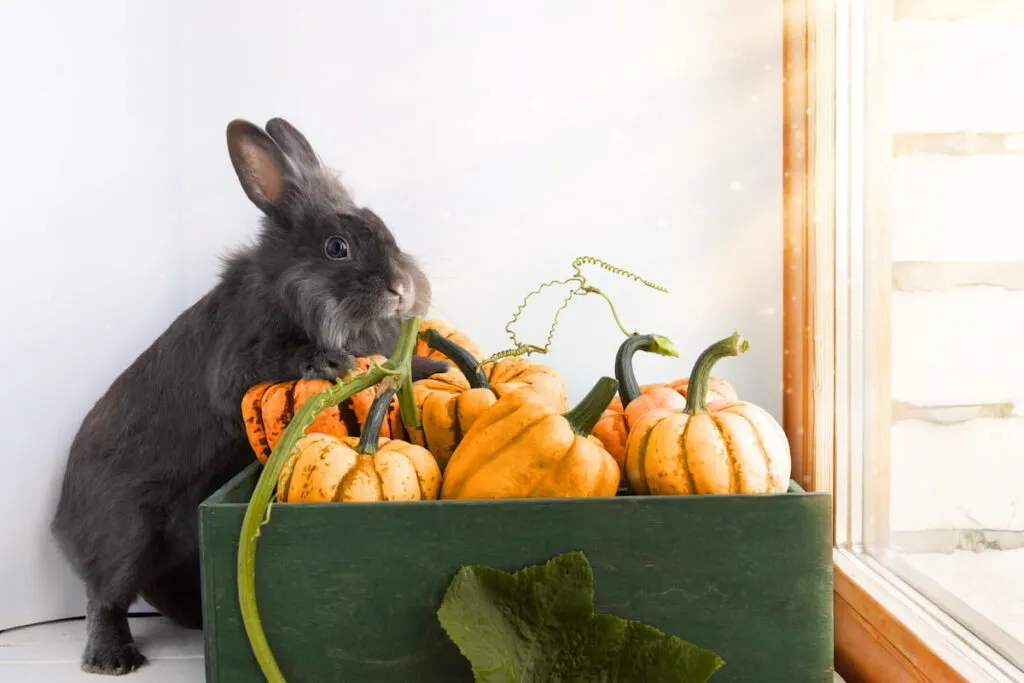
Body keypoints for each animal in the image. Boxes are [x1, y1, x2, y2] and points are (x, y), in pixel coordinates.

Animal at [48, 118, 448, 679]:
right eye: (337, 247)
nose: (400, 289)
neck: (286, 291)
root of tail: (59, 520)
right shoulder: (237, 359)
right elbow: (269, 364)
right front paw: (330, 364)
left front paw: (433, 367)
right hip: (124, 534)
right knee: (106, 597)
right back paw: (113, 658)